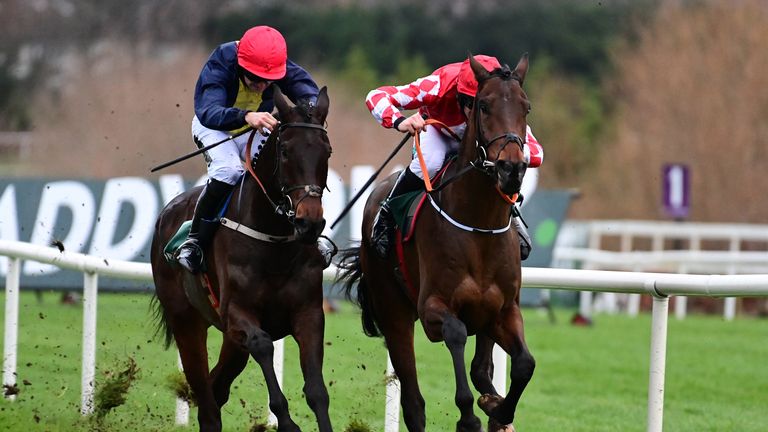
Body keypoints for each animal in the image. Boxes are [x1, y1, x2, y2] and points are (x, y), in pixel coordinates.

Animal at [150, 86, 332, 430]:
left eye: (327, 152)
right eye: (285, 151)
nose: (309, 223)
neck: (274, 243)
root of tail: (166, 214)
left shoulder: (309, 313)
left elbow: (317, 390)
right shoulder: (238, 313)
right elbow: (262, 344)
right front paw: (287, 422)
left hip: (231, 342)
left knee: (216, 387)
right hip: (186, 322)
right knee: (206, 397)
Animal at [338, 54, 536, 432]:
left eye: (526, 107)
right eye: (483, 105)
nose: (512, 168)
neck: (479, 227)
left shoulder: (504, 310)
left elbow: (524, 364)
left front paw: (499, 410)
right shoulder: (432, 307)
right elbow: (456, 334)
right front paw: (469, 416)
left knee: (481, 368)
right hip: (394, 314)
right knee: (414, 403)